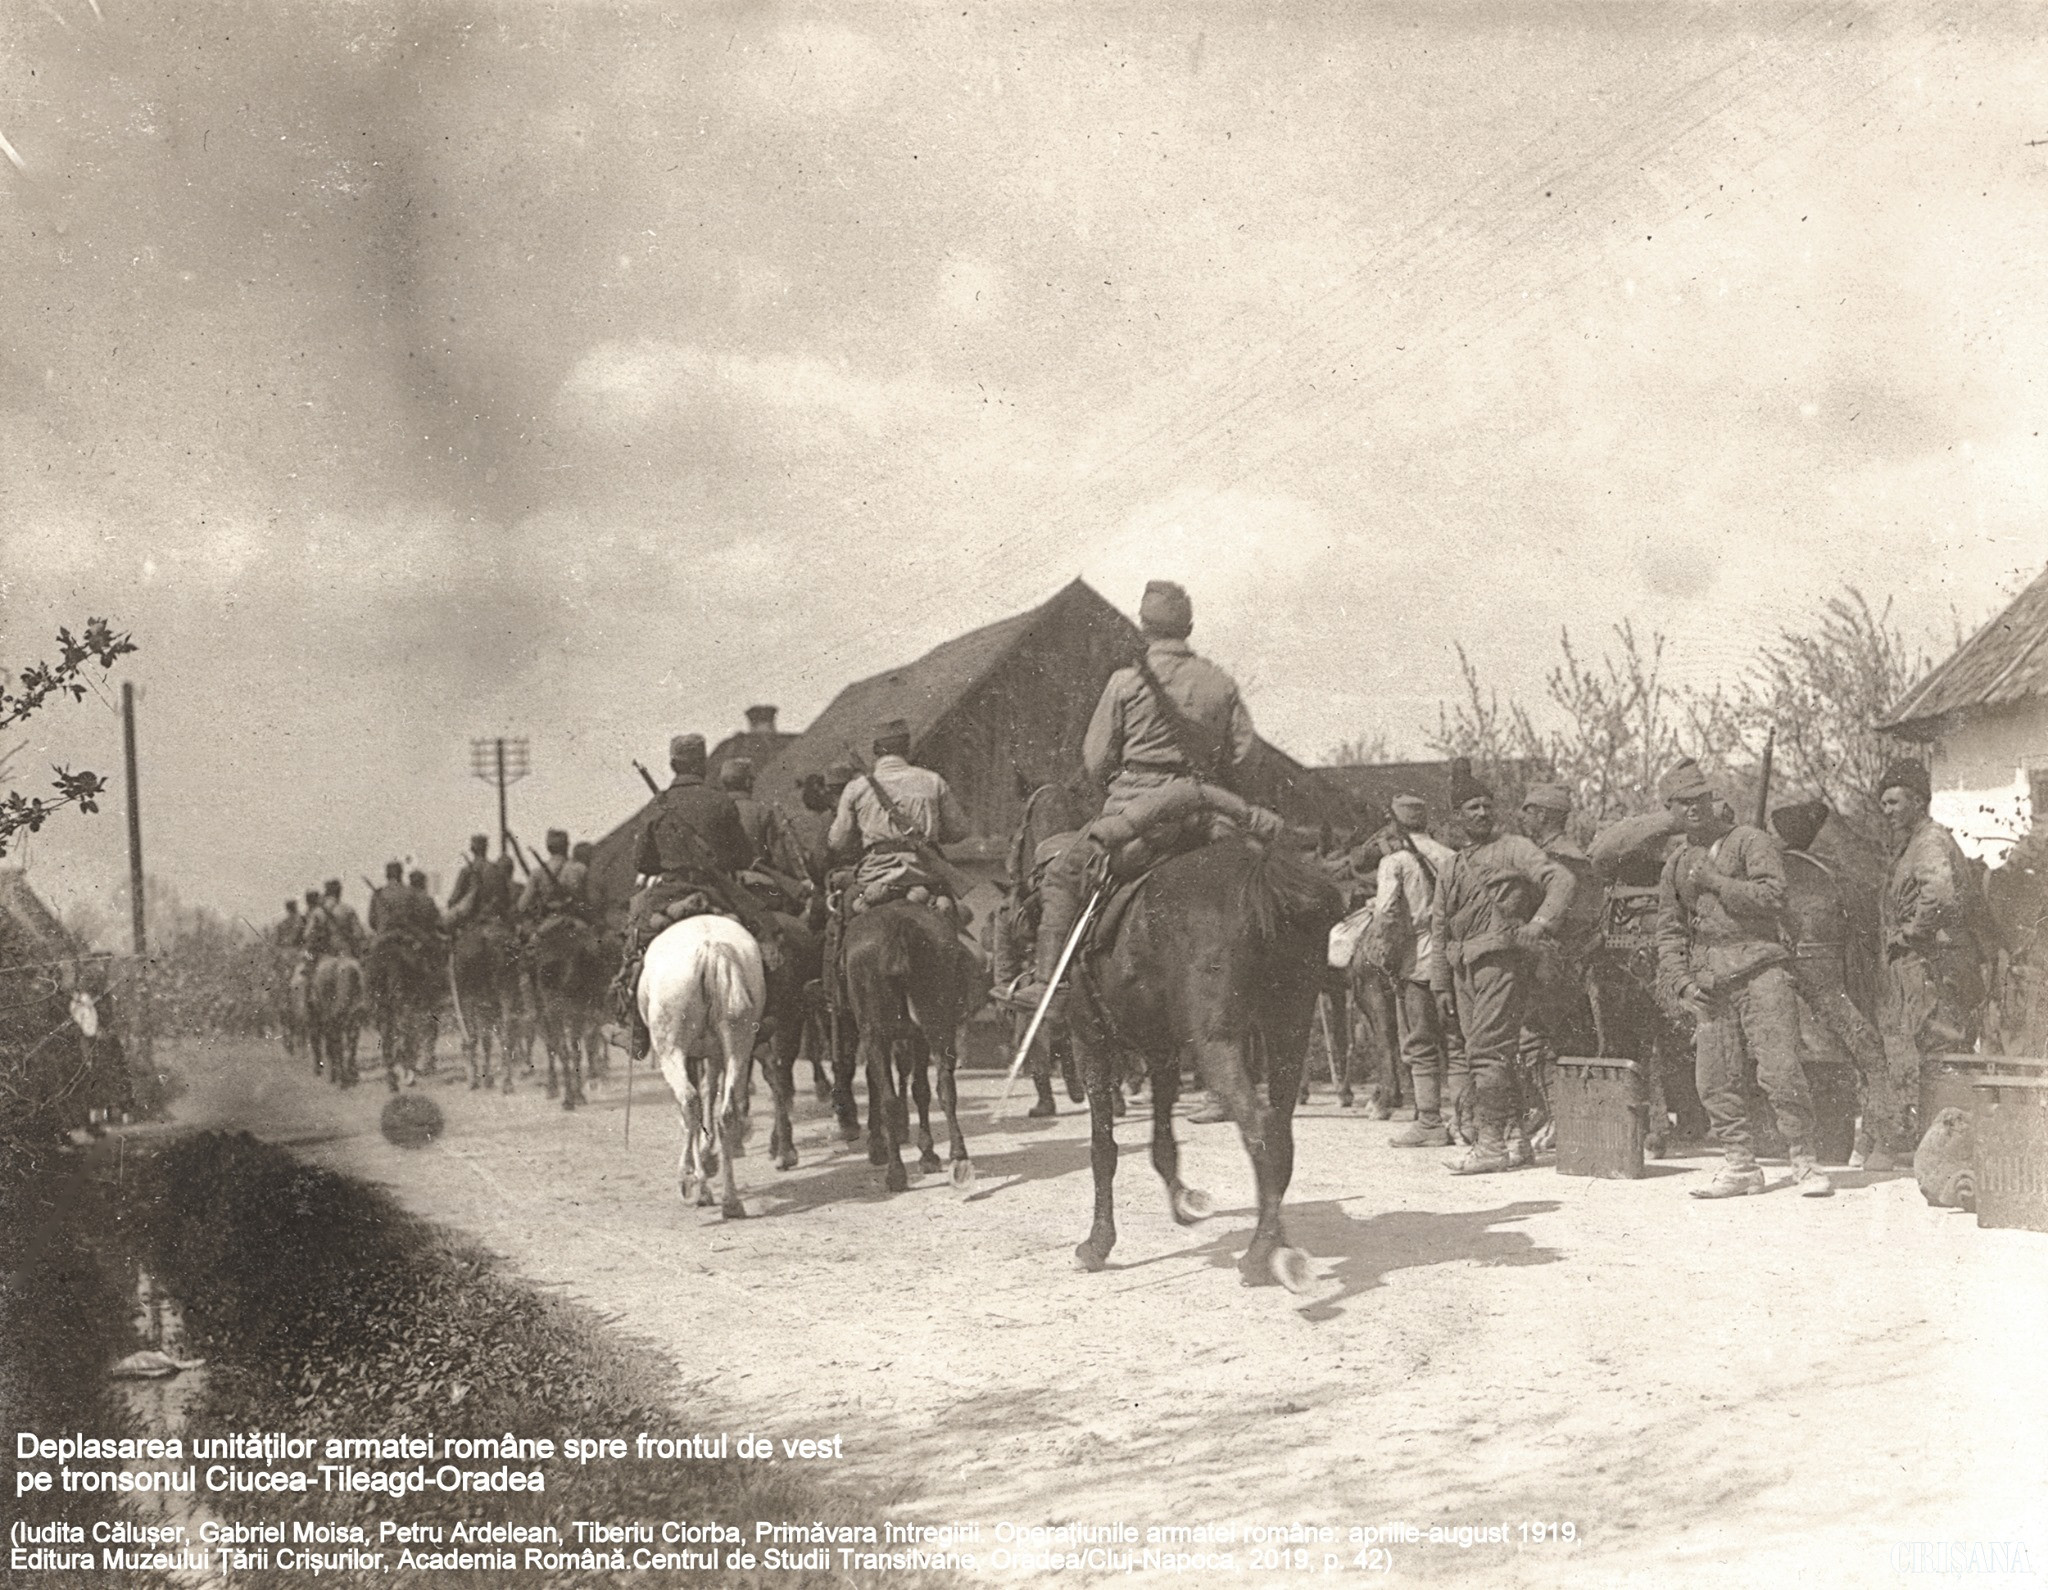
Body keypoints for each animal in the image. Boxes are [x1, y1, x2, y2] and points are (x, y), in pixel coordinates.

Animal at [306, 953, 365, 1087]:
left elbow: (325, 1045)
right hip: (352, 1020)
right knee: (350, 1045)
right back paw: (348, 1075)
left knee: (335, 1045)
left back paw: (339, 1077)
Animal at [527, 913, 607, 1110]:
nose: (529, 948)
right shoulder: (554, 1011)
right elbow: (563, 1050)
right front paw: (568, 1099)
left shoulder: (579, 1011)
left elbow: (577, 1050)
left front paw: (578, 1095)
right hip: (545, 1013)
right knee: (551, 1046)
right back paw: (552, 1088)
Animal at [638, 914, 767, 1220]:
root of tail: (711, 948)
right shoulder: (713, 1053)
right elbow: (710, 1092)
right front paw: (708, 1158)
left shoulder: (688, 1055)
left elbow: (694, 1105)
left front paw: (700, 1173)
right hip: (738, 1043)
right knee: (726, 1111)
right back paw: (731, 1201)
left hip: (670, 1049)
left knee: (689, 1100)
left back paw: (690, 1181)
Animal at [842, 901, 987, 1193]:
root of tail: (900, 925)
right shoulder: (917, 1037)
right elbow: (921, 1090)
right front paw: (926, 1154)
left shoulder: (878, 1037)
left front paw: (879, 1146)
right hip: (937, 1026)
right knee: (945, 1088)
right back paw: (959, 1159)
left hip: (880, 1035)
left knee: (889, 1099)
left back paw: (896, 1171)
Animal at [1067, 838, 1342, 1291]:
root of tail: (1263, 874)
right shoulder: (1161, 1050)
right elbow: (1162, 1140)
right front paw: (1184, 1201)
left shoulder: (1089, 1039)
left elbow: (1102, 1149)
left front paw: (1097, 1244)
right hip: (1289, 1027)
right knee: (1280, 1131)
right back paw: (1273, 1243)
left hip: (1218, 1043)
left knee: (1261, 1129)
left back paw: (1260, 1255)